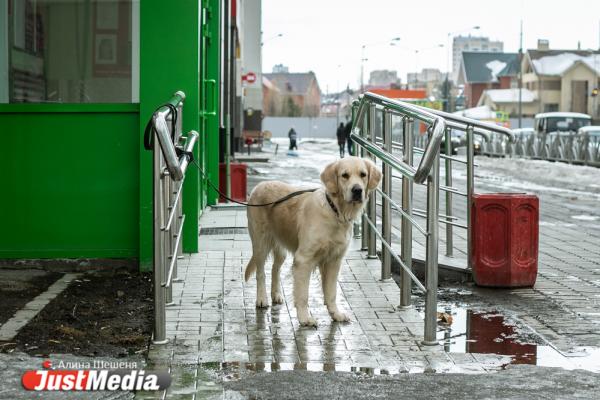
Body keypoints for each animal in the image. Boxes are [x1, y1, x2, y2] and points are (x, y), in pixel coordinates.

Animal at [246, 155, 382, 324]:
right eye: (345, 175)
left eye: (363, 174)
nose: (357, 190)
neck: (335, 212)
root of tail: (259, 185)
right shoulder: (303, 259)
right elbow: (303, 294)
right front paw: (304, 318)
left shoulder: (334, 260)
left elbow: (331, 293)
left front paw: (335, 314)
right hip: (260, 243)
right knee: (260, 273)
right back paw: (262, 299)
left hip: (281, 248)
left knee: (275, 269)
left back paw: (276, 294)